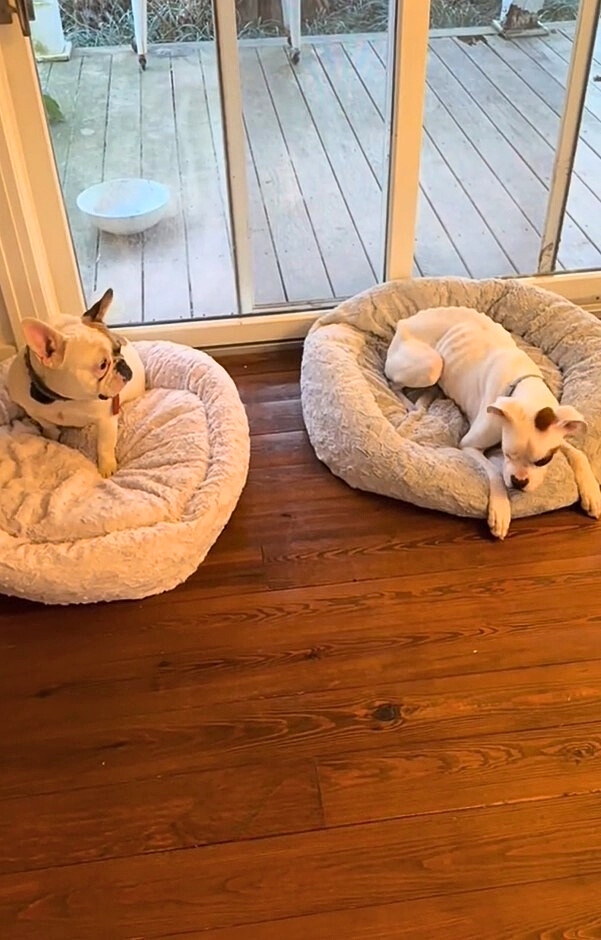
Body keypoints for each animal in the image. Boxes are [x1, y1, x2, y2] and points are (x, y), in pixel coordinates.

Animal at [7, 288, 145, 478]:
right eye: (102, 365)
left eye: (118, 349)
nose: (123, 366)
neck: (62, 399)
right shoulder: (31, 409)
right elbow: (47, 424)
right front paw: (50, 435)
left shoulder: (106, 419)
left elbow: (104, 445)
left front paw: (106, 468)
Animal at [384, 304, 600, 540]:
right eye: (506, 453)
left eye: (544, 460)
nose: (518, 482)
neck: (524, 386)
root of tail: (405, 322)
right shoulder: (469, 445)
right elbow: (495, 472)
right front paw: (500, 511)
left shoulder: (557, 435)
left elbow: (578, 453)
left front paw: (592, 492)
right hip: (432, 366)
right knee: (393, 384)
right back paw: (412, 404)